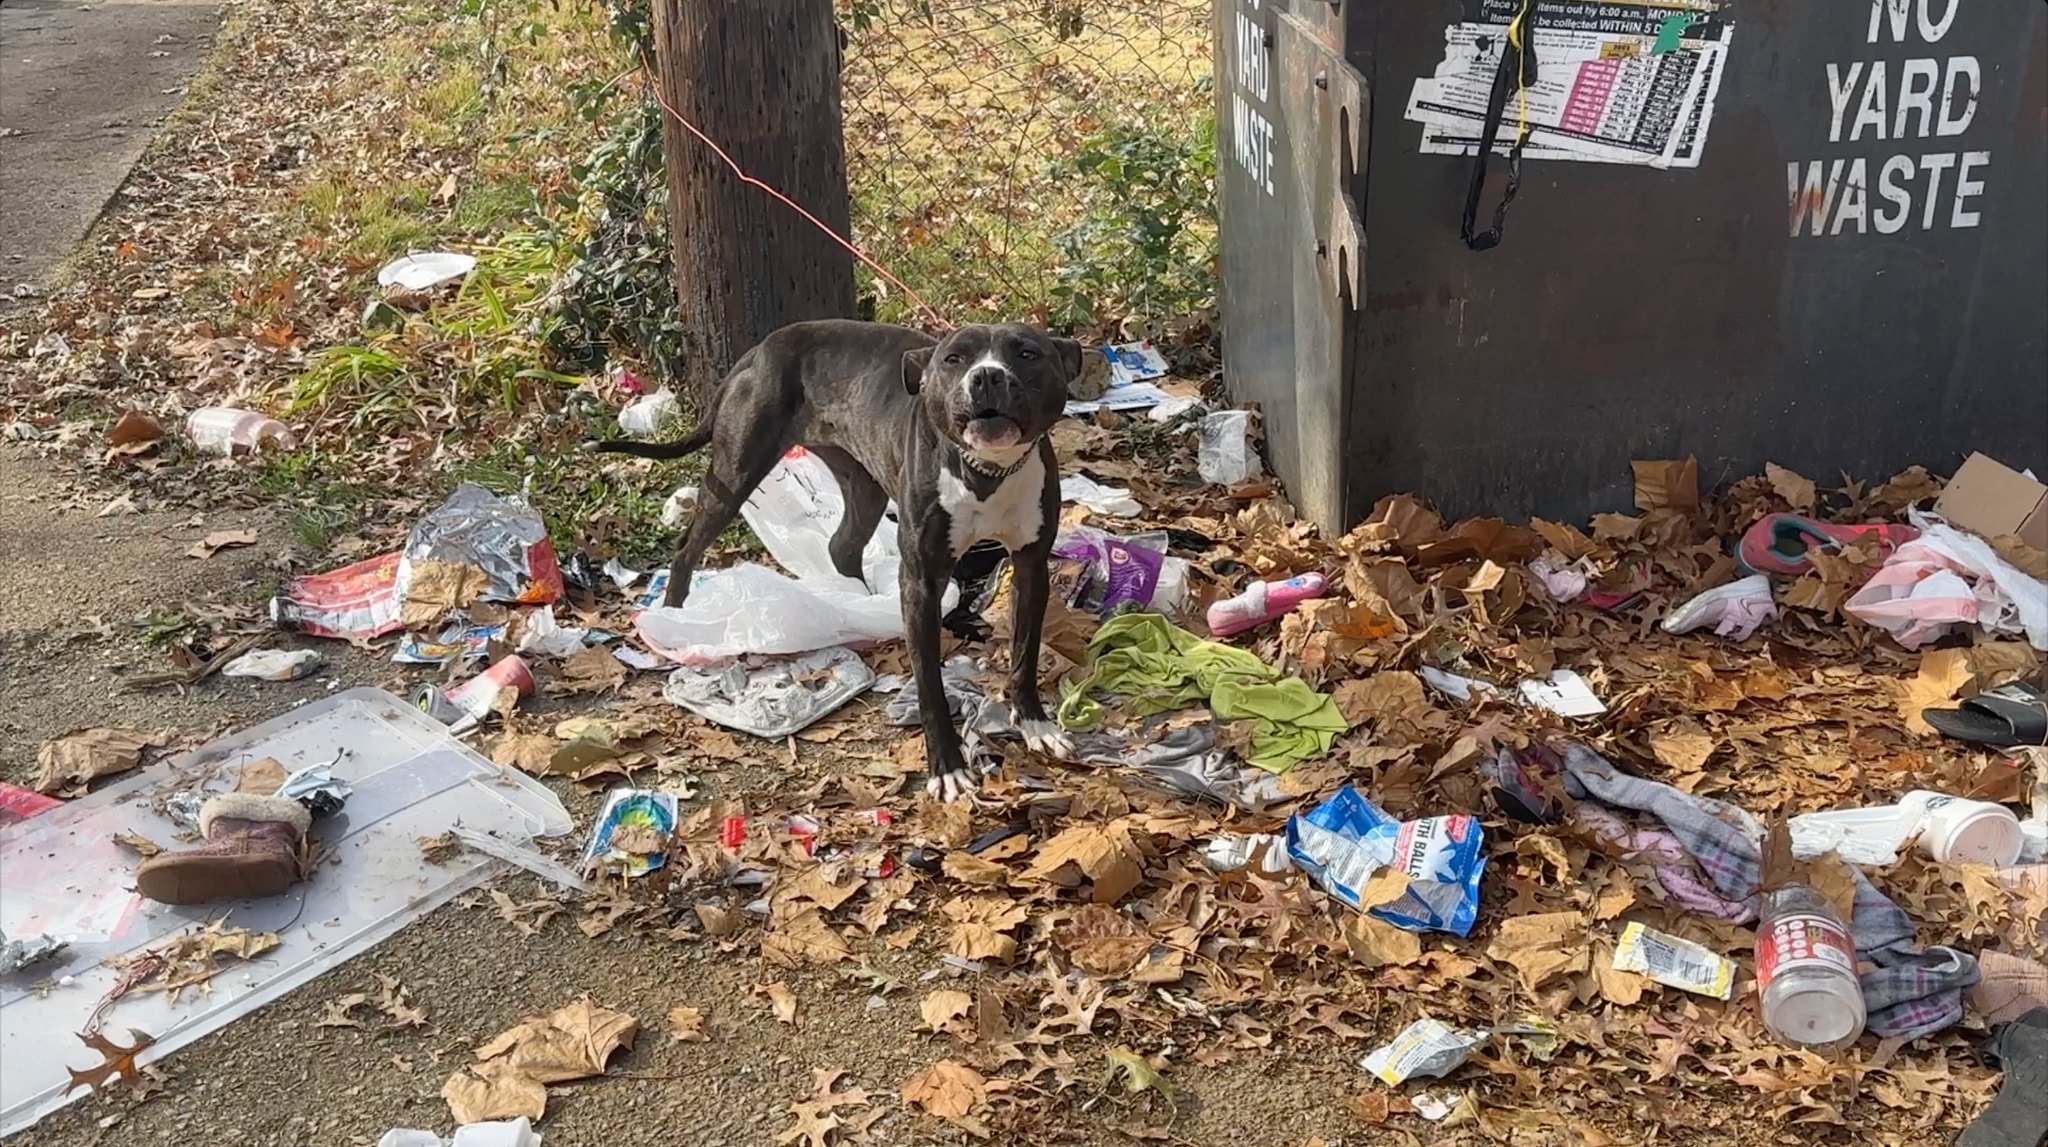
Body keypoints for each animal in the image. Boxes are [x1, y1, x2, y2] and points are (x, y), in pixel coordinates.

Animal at [598, 313, 1089, 798]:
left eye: (1026, 353)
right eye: (955, 359)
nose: (987, 375)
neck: (986, 470)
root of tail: (758, 351)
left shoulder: (1030, 567)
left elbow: (1024, 653)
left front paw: (1035, 724)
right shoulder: (922, 581)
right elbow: (930, 685)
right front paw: (946, 767)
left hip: (862, 484)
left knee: (842, 545)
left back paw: (855, 603)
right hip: (734, 475)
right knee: (687, 548)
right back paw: (674, 615)